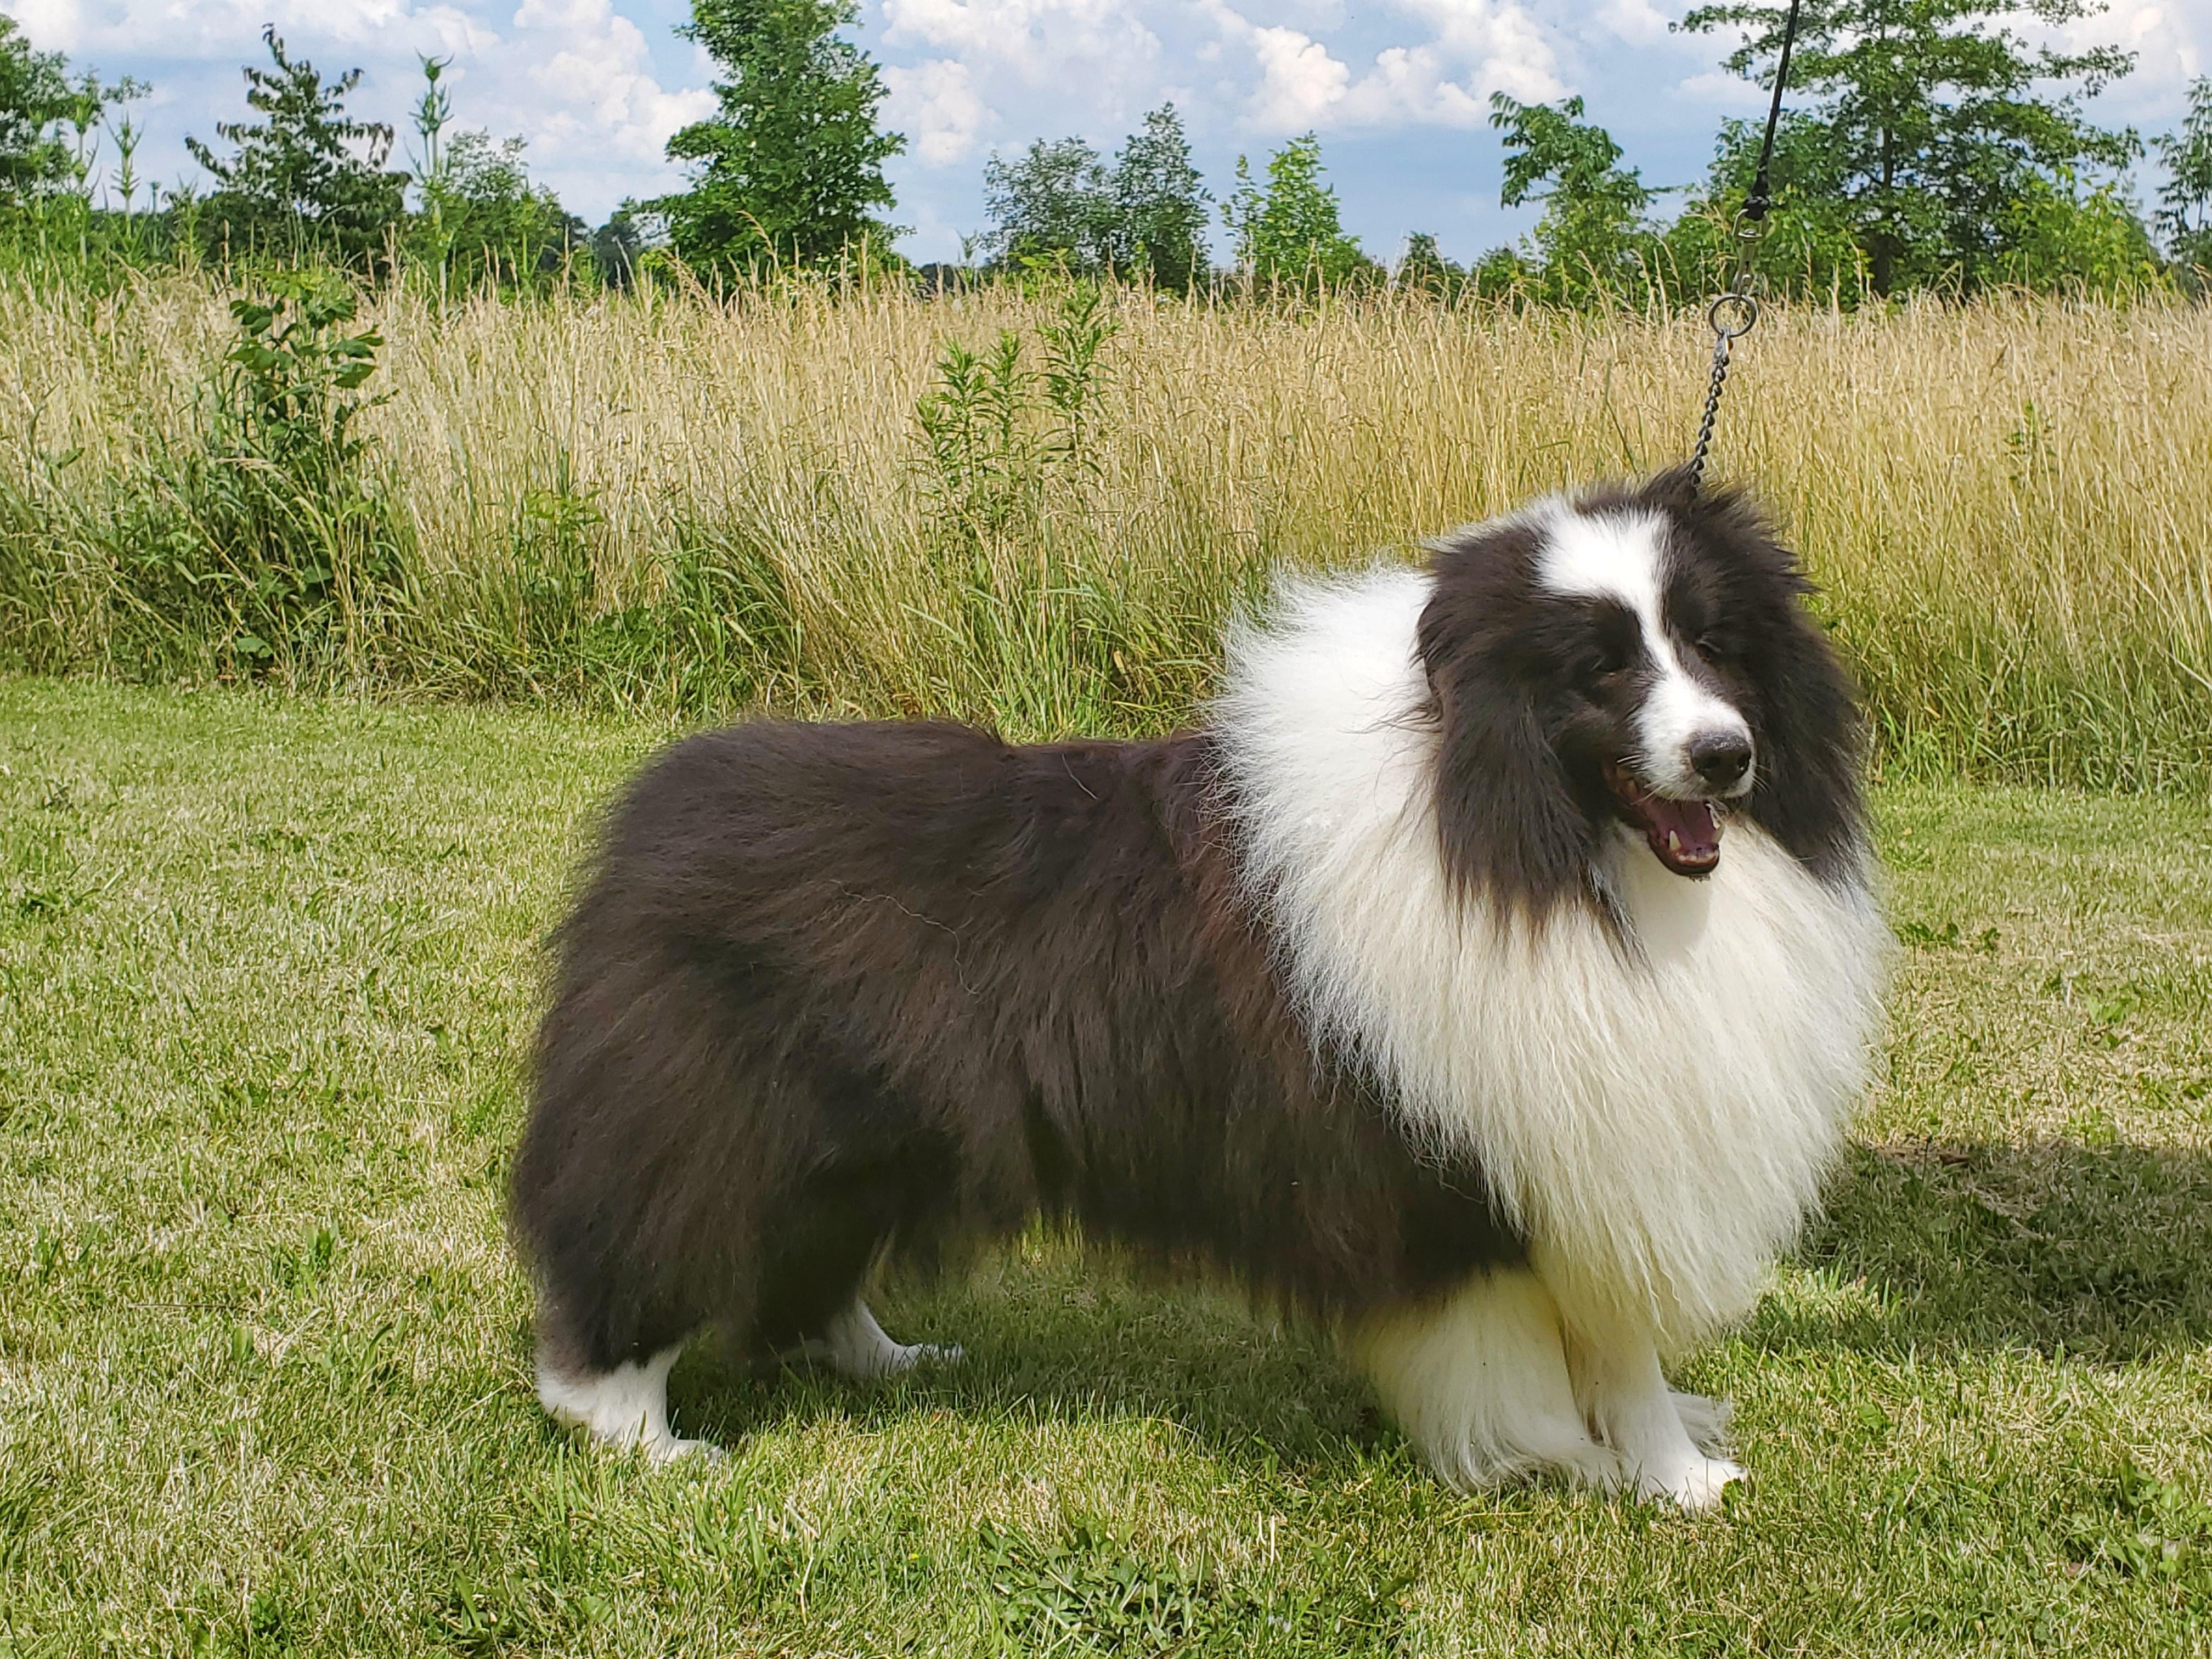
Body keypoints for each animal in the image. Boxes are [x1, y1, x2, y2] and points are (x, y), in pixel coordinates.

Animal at [508, 470, 1889, 1508]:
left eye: (1714, 644)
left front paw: (1659, 1468)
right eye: (1599, 670)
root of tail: (657, 812)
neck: (1515, 829)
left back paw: (886, 1361)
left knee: (811, 1276)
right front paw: (1668, 1482)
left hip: (857, 1144)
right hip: (721, 1129)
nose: (1725, 755)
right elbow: (1621, 1355)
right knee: (636, 1268)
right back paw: (643, 1437)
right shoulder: (1549, 1167)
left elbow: (1619, 1356)